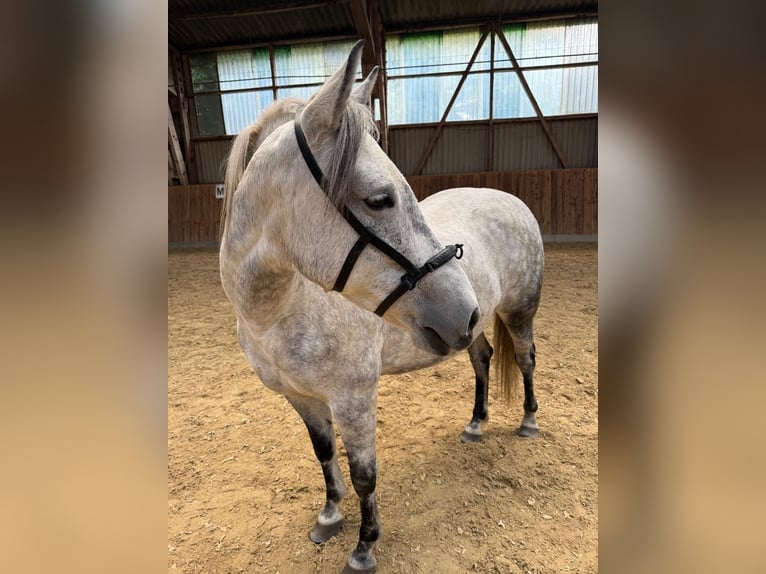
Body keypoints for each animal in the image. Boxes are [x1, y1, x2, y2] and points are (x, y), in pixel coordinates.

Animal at [219, 41, 544, 574]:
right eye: (379, 199)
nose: (463, 308)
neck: (279, 310)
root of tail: (509, 199)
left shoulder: (353, 397)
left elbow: (364, 475)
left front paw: (365, 545)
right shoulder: (302, 399)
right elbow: (323, 454)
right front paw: (329, 516)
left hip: (517, 313)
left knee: (526, 359)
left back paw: (529, 422)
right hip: (475, 330)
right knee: (482, 359)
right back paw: (476, 423)